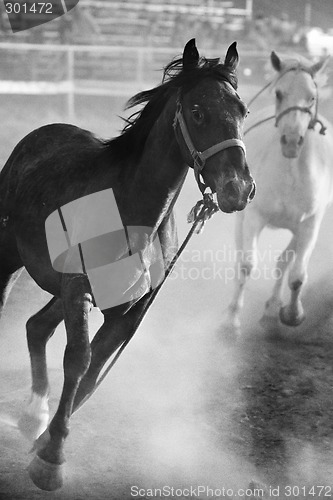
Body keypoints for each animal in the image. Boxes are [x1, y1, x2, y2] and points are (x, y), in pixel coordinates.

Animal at [0, 40, 254, 492]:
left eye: (242, 111)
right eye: (197, 112)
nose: (237, 189)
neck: (133, 214)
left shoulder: (129, 312)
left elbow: (93, 372)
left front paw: (46, 442)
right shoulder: (79, 289)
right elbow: (78, 360)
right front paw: (51, 460)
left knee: (36, 327)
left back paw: (34, 414)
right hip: (10, 255)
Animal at [223, 50, 332, 334]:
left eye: (312, 97)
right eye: (279, 93)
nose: (292, 141)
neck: (291, 171)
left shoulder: (310, 225)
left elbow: (296, 276)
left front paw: (291, 314)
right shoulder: (254, 217)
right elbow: (246, 265)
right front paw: (231, 320)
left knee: (284, 263)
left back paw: (272, 309)